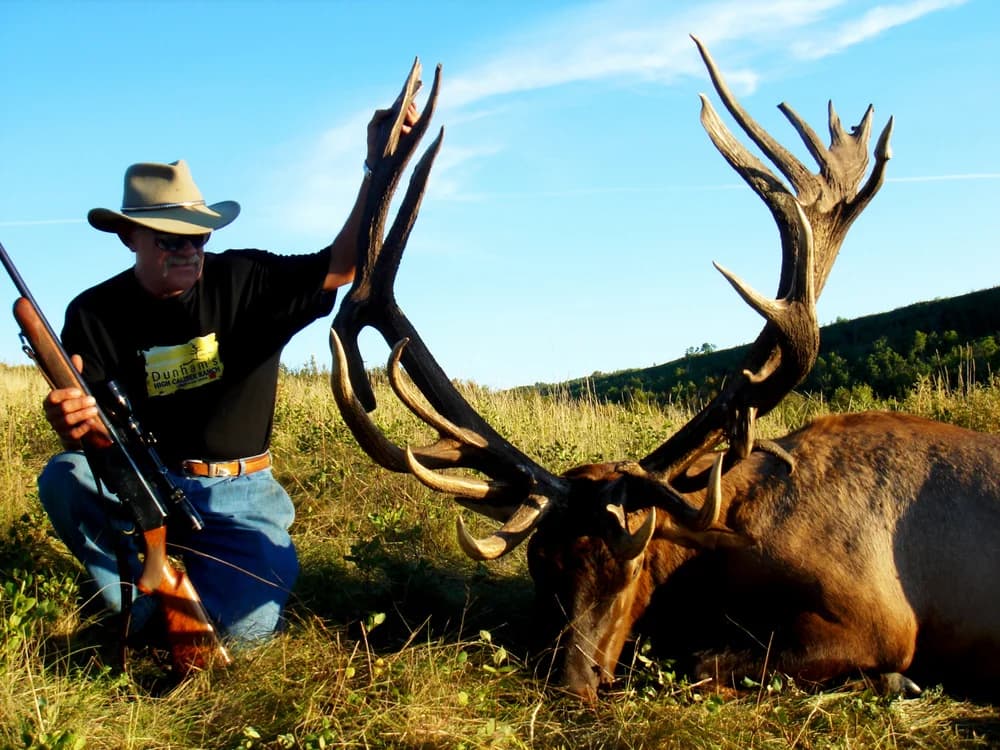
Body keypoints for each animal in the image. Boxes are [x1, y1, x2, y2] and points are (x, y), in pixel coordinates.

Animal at [327, 37, 1000, 703]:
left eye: (631, 565)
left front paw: (895, 680)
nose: (572, 683)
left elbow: (706, 660)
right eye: (540, 567)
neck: (729, 544)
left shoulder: (881, 617)